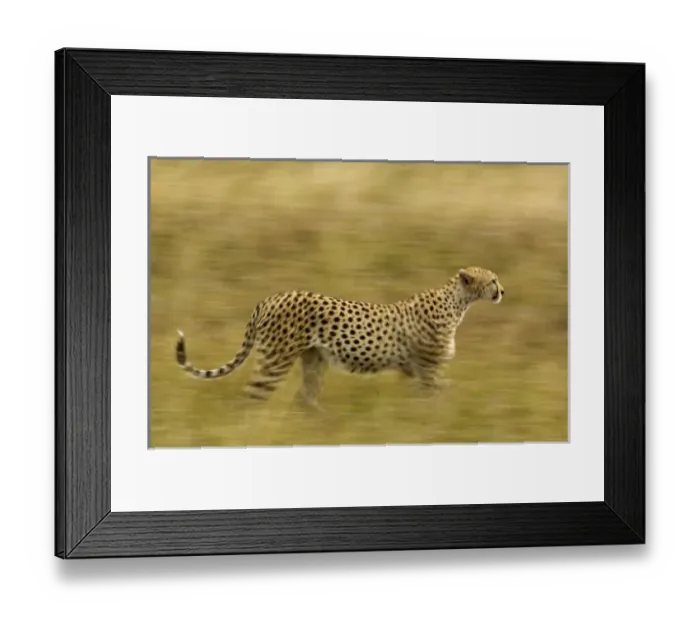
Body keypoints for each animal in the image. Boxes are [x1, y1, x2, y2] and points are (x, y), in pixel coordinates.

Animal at [175, 267, 505, 408]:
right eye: (493, 280)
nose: (503, 290)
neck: (458, 301)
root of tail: (271, 297)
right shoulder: (428, 370)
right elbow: (444, 393)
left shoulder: (415, 371)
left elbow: (434, 395)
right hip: (276, 360)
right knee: (252, 397)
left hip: (313, 360)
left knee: (304, 398)